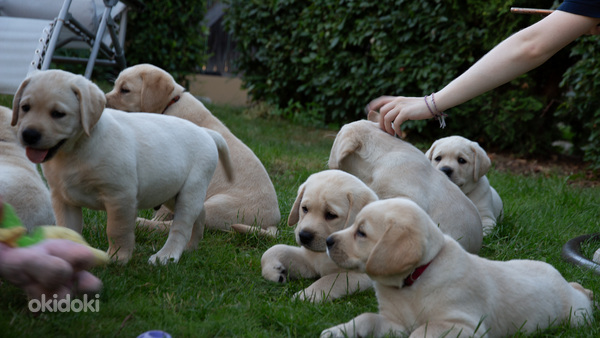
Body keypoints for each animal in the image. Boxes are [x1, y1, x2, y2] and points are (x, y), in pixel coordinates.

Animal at [105, 64, 278, 236]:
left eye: (125, 90)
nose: (102, 102)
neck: (169, 106)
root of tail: (272, 224)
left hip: (216, 205)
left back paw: (144, 224)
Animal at [262, 170, 378, 302]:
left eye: (331, 215)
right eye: (304, 208)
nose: (304, 236)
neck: (324, 254)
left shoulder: (364, 275)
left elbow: (331, 280)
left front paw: (307, 295)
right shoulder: (309, 260)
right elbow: (275, 249)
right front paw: (272, 270)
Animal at [322, 198, 592, 338]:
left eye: (361, 233)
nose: (327, 241)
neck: (415, 280)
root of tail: (564, 282)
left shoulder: (464, 326)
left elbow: (422, 330)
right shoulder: (395, 322)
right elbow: (367, 318)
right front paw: (337, 331)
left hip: (576, 316)